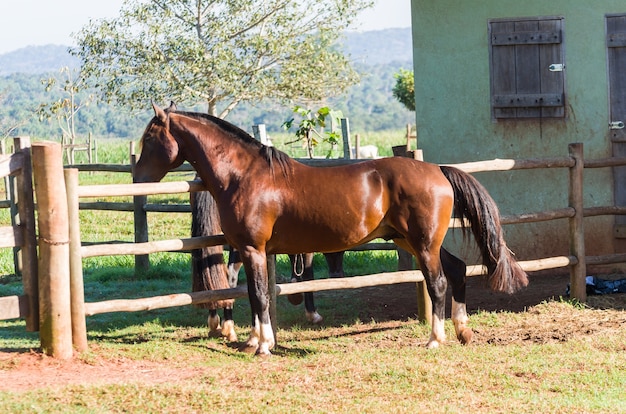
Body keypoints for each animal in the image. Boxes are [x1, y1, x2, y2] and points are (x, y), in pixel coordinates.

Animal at [136, 103, 528, 356]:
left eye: (149, 139)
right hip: (412, 241)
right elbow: (249, 291)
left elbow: (259, 295)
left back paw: (435, 339)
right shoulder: (249, 251)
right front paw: (253, 340)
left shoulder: (252, 249)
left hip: (423, 244)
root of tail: (437, 170)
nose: (139, 178)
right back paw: (463, 331)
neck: (245, 175)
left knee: (439, 282)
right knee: (458, 269)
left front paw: (263, 345)